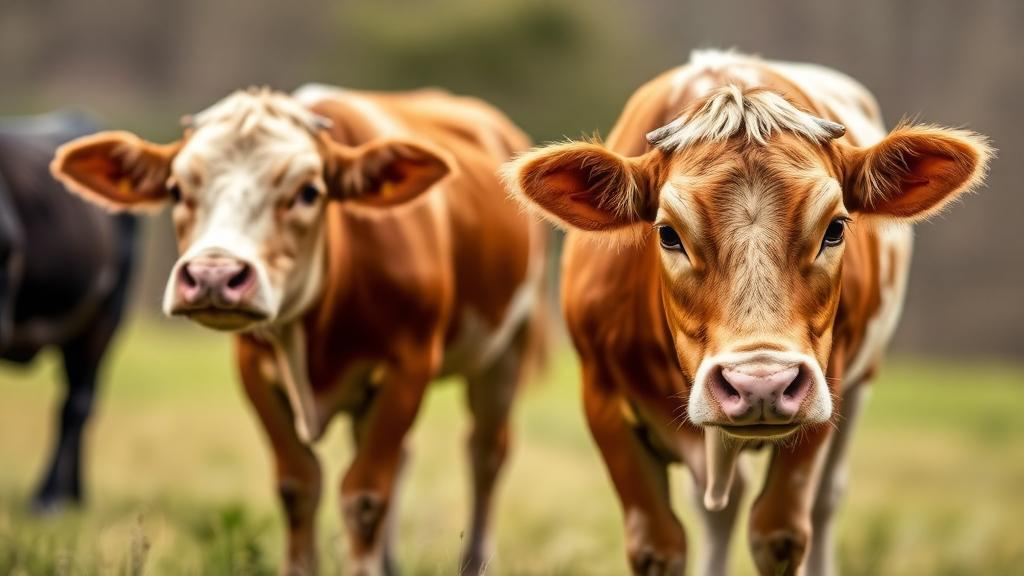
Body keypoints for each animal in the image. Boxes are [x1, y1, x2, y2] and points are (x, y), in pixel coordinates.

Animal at [51, 85, 547, 575]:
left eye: (309, 192)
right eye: (176, 190)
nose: (214, 274)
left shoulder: (410, 365)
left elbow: (365, 494)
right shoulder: (253, 369)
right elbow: (298, 485)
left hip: (508, 349)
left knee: (485, 453)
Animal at [505, 50, 991, 576]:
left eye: (836, 228)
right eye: (668, 233)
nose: (762, 384)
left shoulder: (828, 387)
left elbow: (777, 533)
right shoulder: (601, 396)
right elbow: (657, 544)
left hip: (861, 382)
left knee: (825, 500)